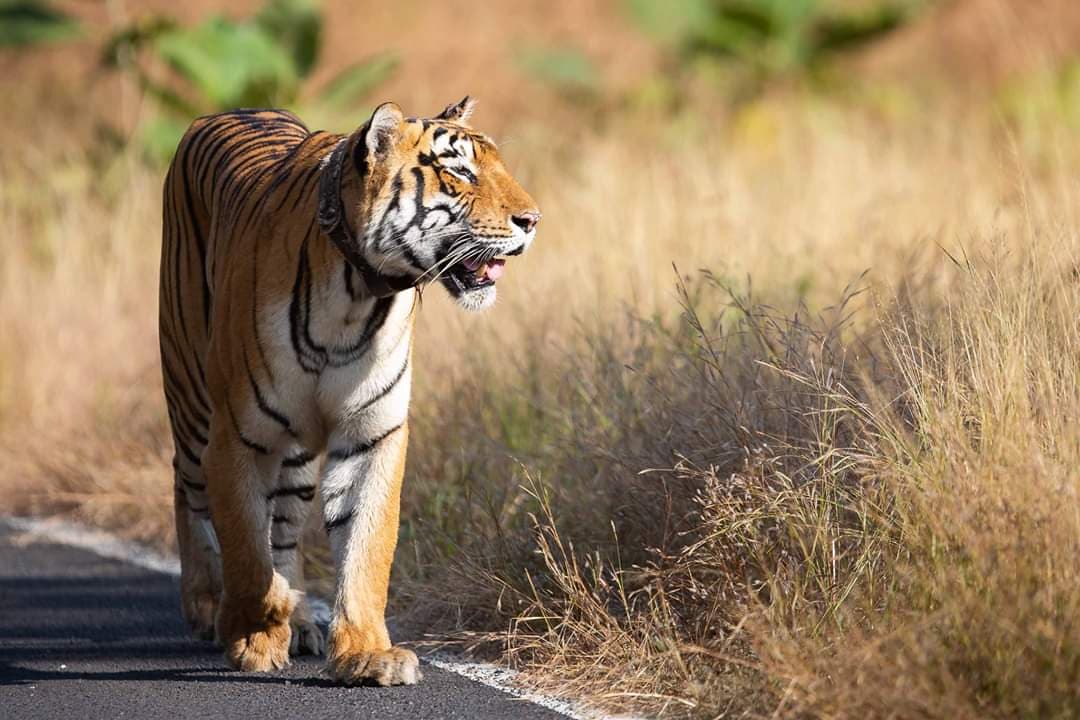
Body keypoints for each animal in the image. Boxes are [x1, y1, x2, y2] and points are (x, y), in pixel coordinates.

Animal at [159, 97, 539, 685]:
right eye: (459, 171)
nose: (533, 220)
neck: (357, 292)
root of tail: (240, 107)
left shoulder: (371, 433)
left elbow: (366, 548)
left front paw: (365, 653)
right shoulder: (238, 435)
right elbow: (246, 549)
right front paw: (255, 629)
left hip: (291, 455)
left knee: (283, 525)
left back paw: (298, 624)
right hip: (194, 402)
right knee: (188, 487)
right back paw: (208, 606)